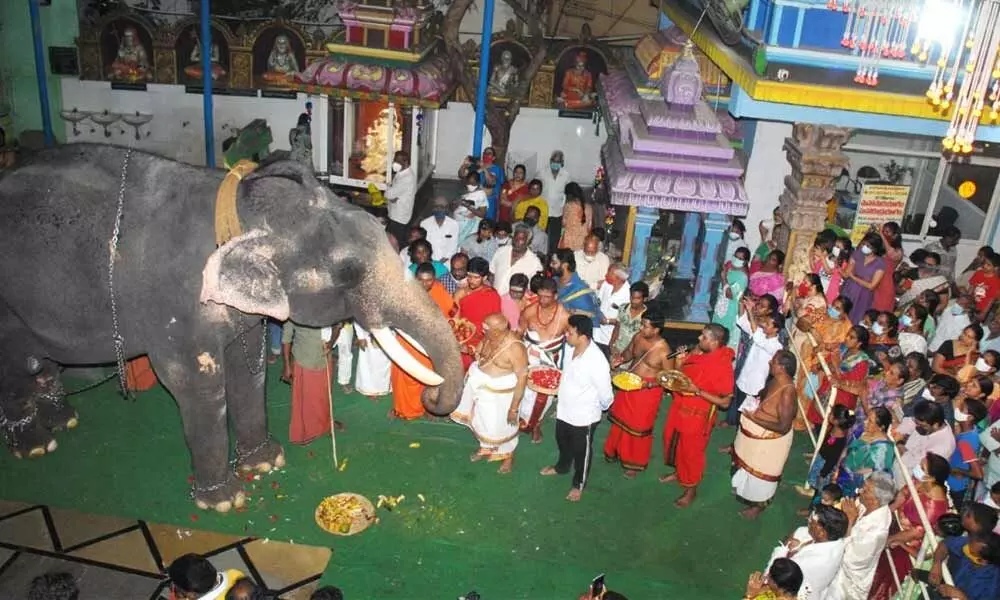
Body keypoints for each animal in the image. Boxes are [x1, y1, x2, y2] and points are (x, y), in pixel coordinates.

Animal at [0, 144, 460, 510]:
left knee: (39, 363)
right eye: (349, 272)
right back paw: (37, 446)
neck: (241, 207)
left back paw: (63, 422)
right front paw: (225, 501)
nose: (432, 398)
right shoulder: (177, 307)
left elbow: (249, 368)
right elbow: (198, 385)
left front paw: (267, 461)